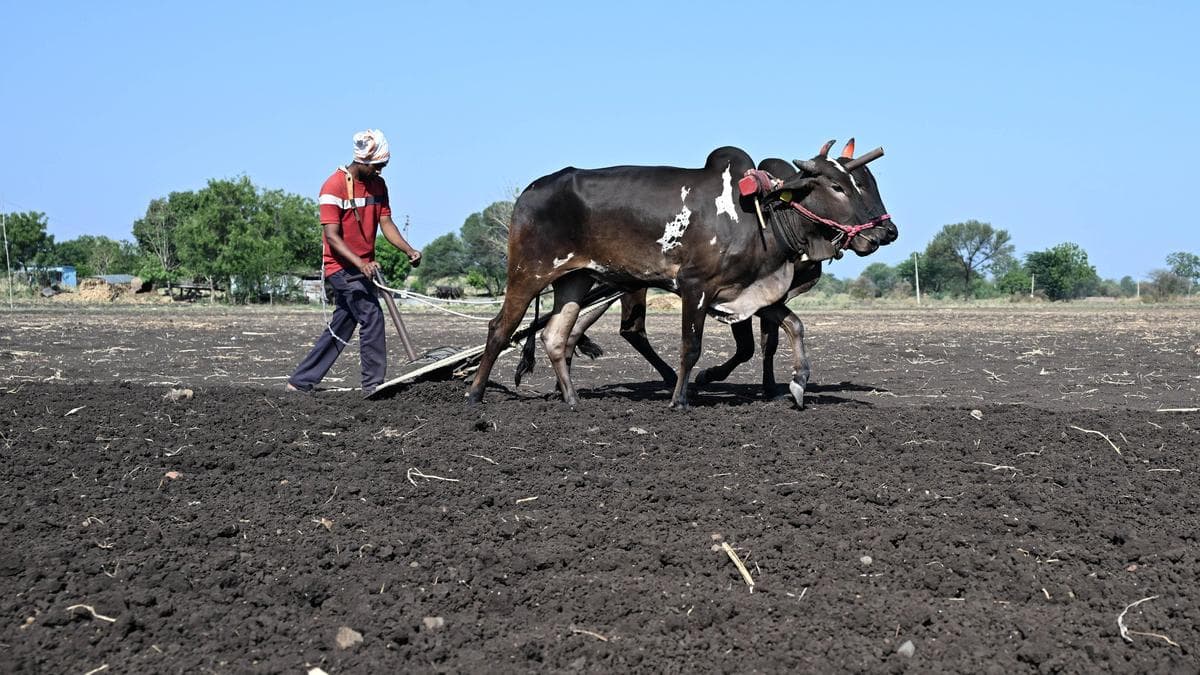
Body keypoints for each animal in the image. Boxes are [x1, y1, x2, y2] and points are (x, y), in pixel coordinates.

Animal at [466, 145, 896, 409]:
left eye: (862, 182)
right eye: (838, 185)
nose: (882, 234)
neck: (760, 214)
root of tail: (529, 192)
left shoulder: (748, 294)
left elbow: (793, 326)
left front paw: (797, 382)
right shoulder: (695, 288)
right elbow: (692, 347)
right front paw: (680, 398)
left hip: (577, 280)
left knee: (556, 336)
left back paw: (572, 399)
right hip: (528, 274)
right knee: (500, 329)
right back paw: (474, 394)